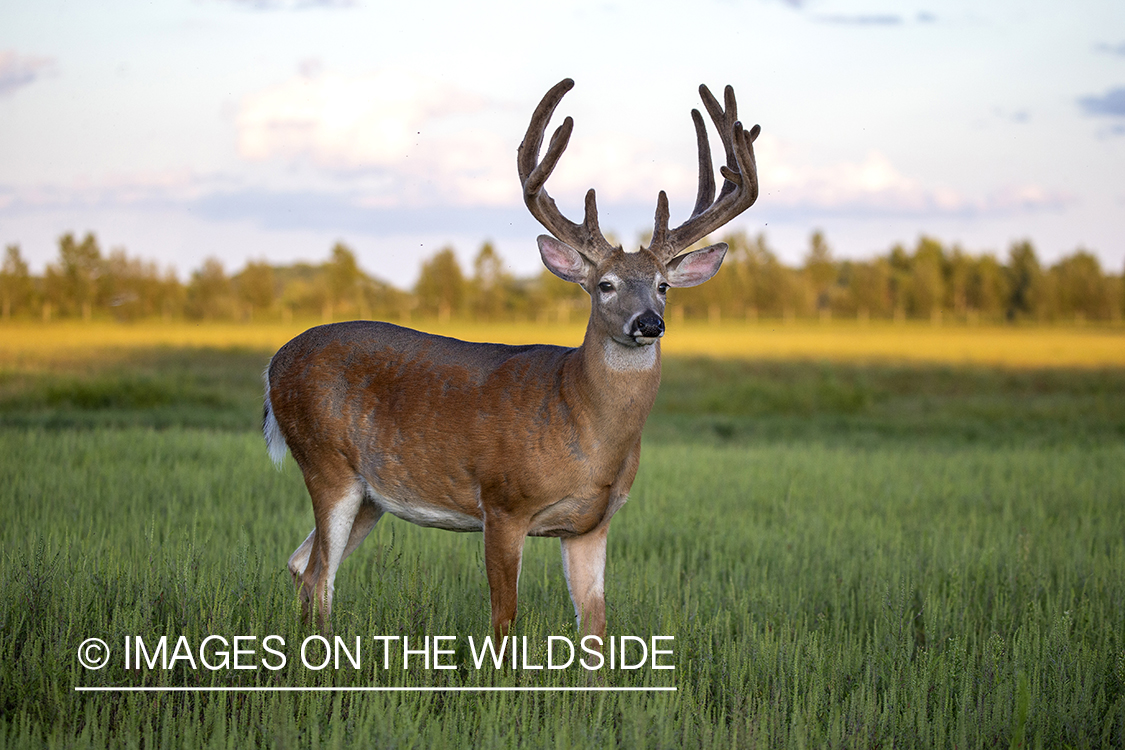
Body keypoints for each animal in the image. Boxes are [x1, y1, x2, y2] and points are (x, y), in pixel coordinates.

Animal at [261, 80, 756, 647]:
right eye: (605, 285)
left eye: (663, 286)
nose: (649, 323)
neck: (581, 423)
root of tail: (273, 364)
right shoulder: (501, 501)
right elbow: (504, 620)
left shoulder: (592, 523)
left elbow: (595, 627)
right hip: (325, 461)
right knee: (319, 575)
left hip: (371, 494)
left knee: (301, 565)